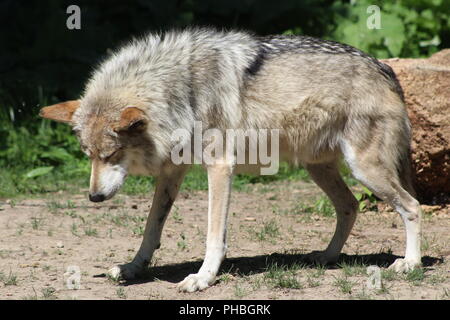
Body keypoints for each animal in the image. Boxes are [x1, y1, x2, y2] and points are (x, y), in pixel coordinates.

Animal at [40, 28, 424, 292]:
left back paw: (410, 264)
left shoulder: (220, 167)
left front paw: (202, 278)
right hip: (320, 169)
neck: (179, 90)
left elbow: (214, 235)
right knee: (349, 206)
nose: (94, 197)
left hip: (365, 170)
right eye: (89, 156)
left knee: (412, 205)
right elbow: (151, 227)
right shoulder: (172, 171)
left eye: (111, 154)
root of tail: (385, 67)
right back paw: (326, 257)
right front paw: (135, 267)